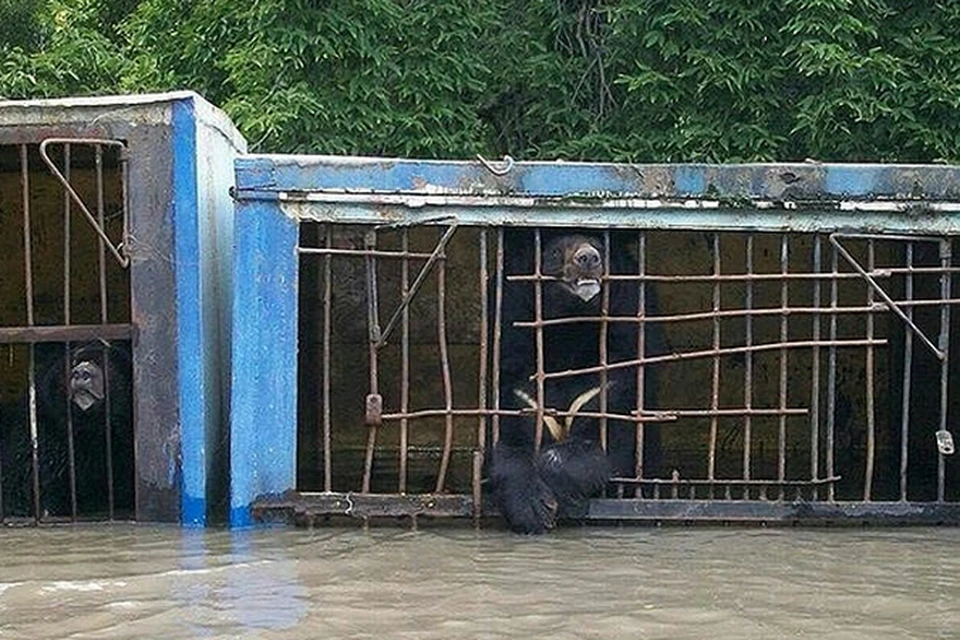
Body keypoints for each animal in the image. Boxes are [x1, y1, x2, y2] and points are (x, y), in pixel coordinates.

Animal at [488, 228, 660, 532]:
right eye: (555, 251)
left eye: (600, 247)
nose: (588, 258)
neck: (570, 330)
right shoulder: (512, 371)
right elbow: (507, 443)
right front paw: (530, 508)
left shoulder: (620, 375)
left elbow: (614, 445)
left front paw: (558, 499)